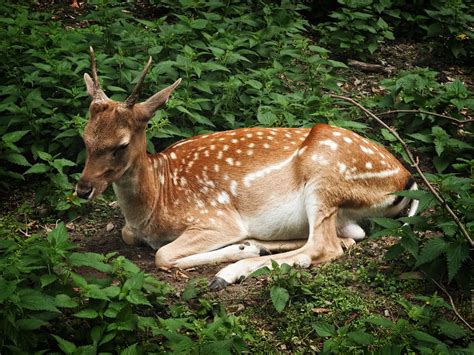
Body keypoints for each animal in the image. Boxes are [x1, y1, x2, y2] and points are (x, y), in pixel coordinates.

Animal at [77, 48, 418, 290]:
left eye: (120, 145)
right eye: (85, 136)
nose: (82, 189)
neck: (157, 199)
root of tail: (406, 178)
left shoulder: (215, 219)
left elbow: (163, 254)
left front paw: (239, 251)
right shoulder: (135, 229)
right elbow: (128, 235)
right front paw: (246, 247)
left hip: (326, 176)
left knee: (324, 246)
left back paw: (230, 271)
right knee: (348, 236)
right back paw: (256, 248)